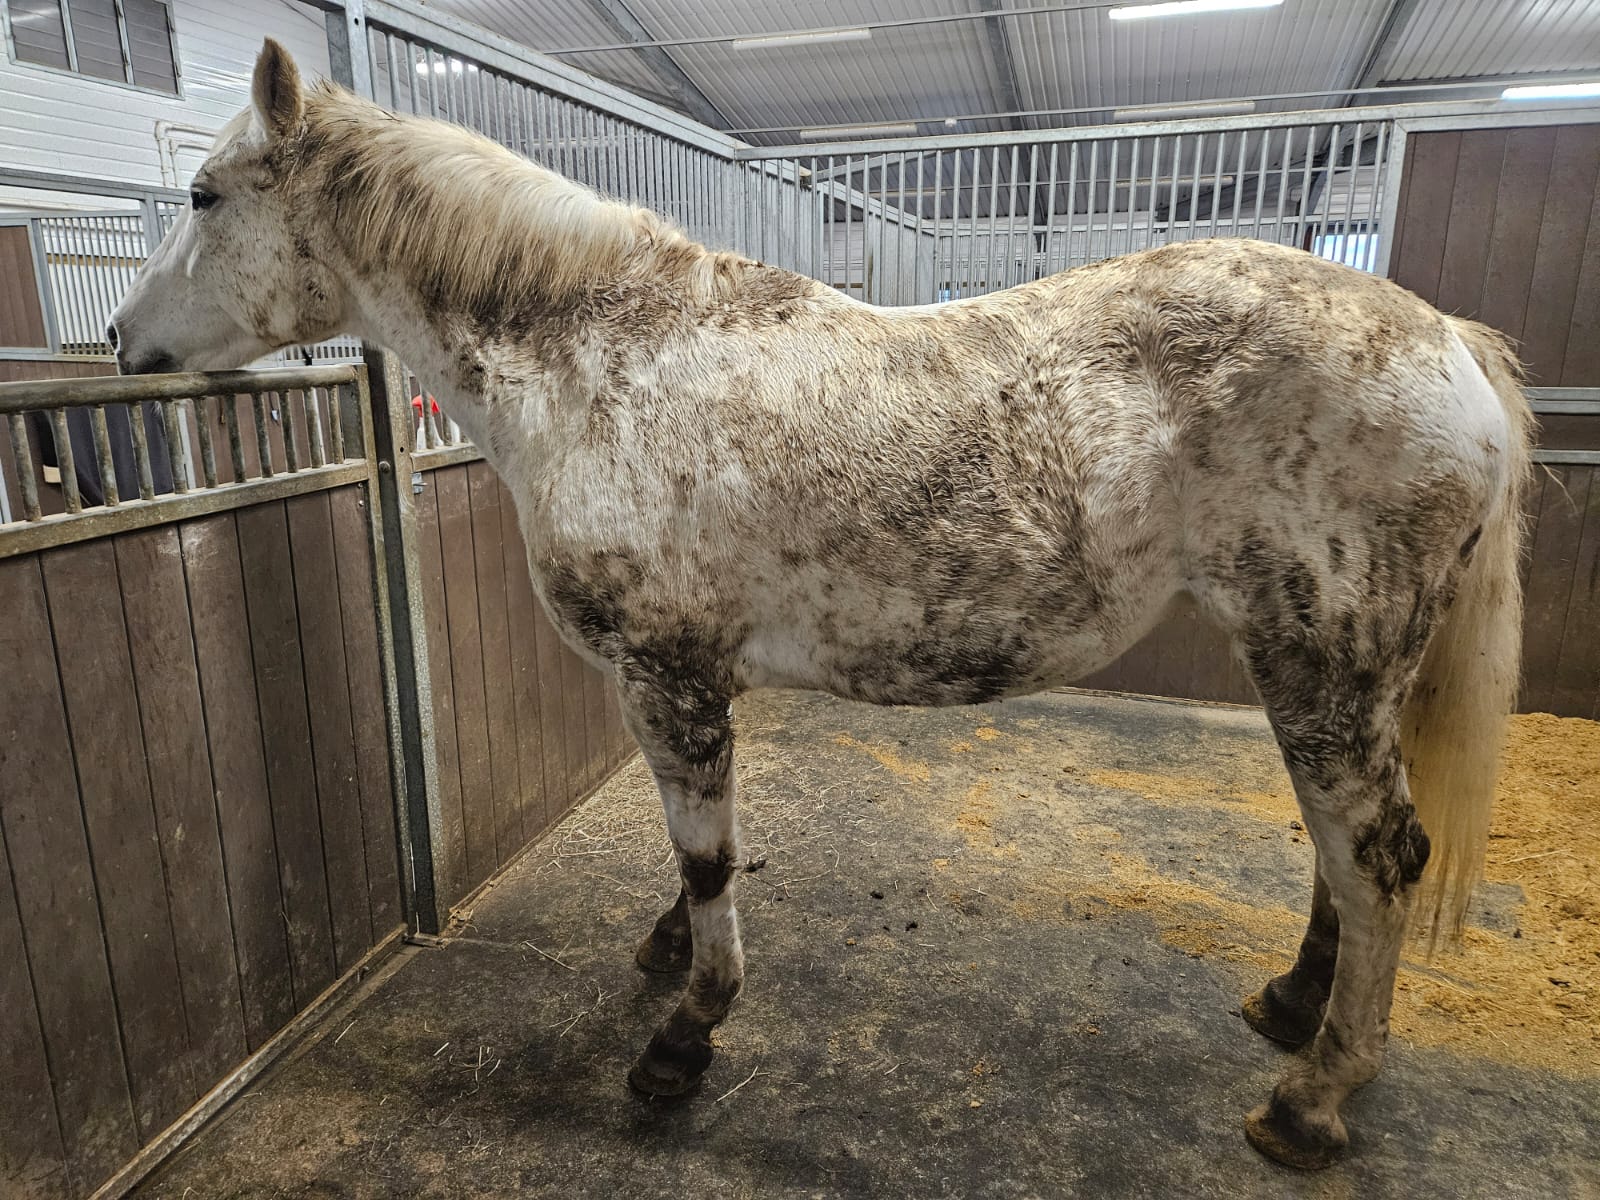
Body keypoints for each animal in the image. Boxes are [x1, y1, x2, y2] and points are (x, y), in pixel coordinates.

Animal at [110, 40, 1532, 1170]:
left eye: (202, 194)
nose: (123, 344)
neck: (598, 357)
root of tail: (1447, 342)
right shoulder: (675, 676)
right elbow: (691, 850)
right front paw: (666, 954)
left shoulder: (667, 673)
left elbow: (705, 851)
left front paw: (684, 1036)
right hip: (1330, 667)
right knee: (1346, 857)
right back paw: (1293, 1006)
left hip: (1321, 660)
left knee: (1379, 856)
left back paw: (1311, 1099)